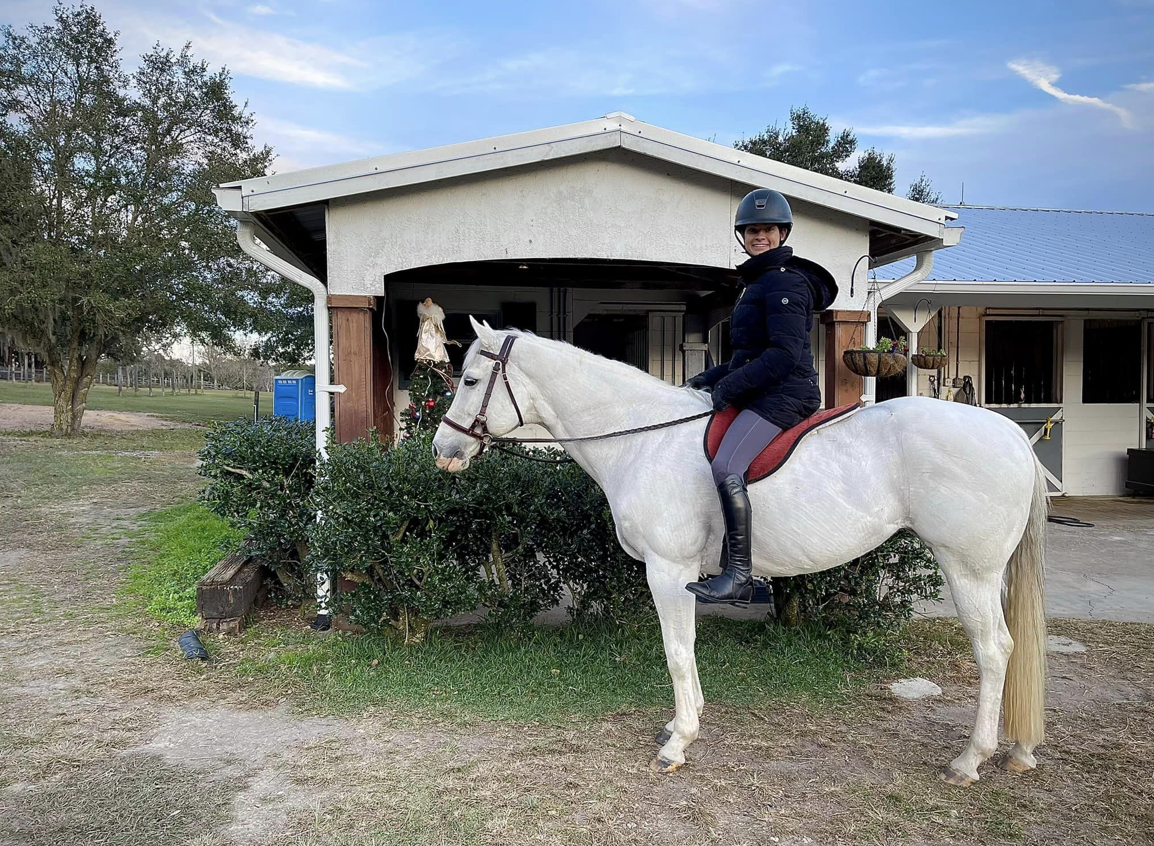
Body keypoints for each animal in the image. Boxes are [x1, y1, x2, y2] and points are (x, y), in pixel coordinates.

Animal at [433, 318, 1047, 784]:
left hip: (969, 569)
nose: (442, 450)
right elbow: (687, 651)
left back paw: (969, 760)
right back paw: (1017, 751)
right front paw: (684, 723)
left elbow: (677, 651)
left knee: (995, 651)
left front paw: (679, 741)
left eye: (469, 378)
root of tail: (1012, 435)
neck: (644, 438)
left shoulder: (668, 571)